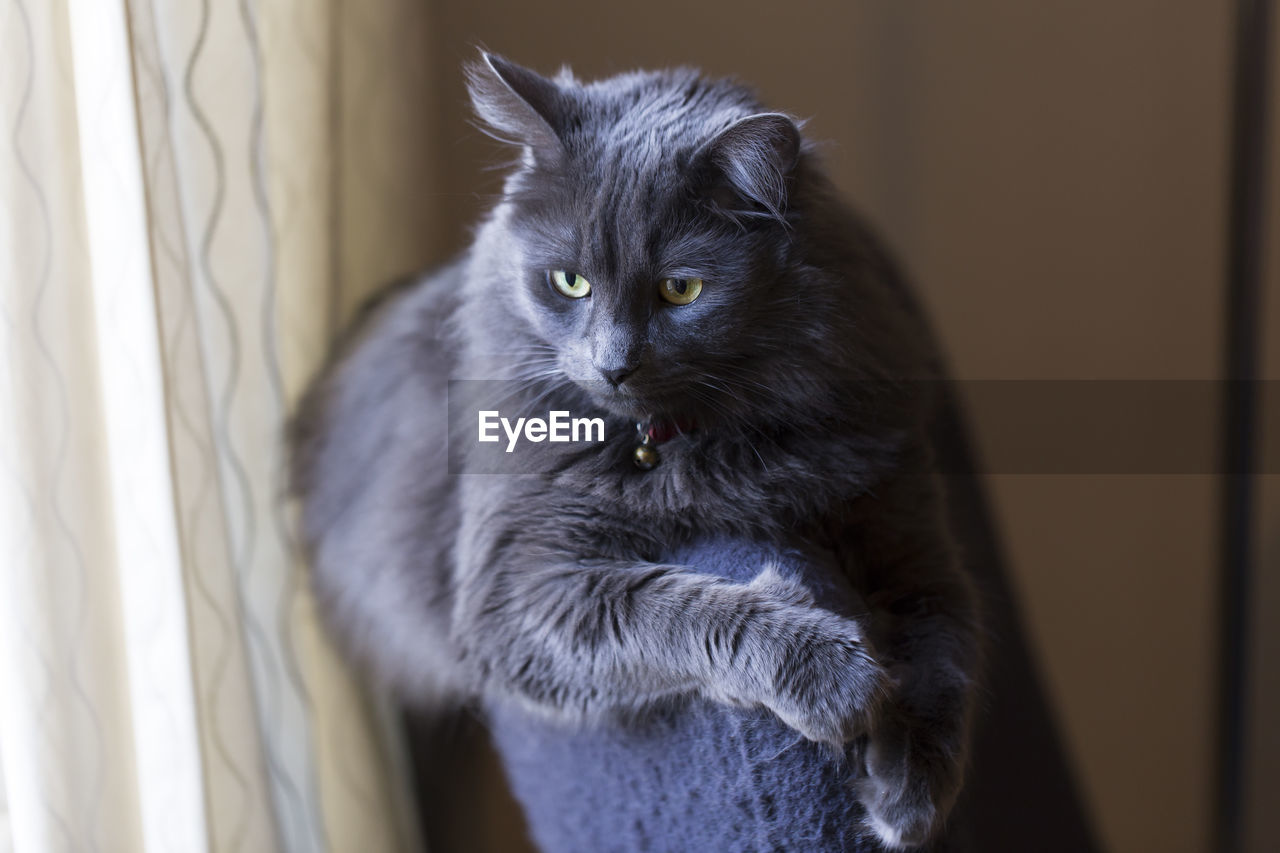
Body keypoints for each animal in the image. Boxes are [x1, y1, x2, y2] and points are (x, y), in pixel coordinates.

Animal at [290, 53, 983, 845]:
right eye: (570, 281)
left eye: (681, 289)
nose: (613, 365)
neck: (681, 445)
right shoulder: (520, 584)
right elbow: (679, 609)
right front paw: (835, 676)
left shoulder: (905, 523)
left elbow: (944, 651)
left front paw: (910, 790)